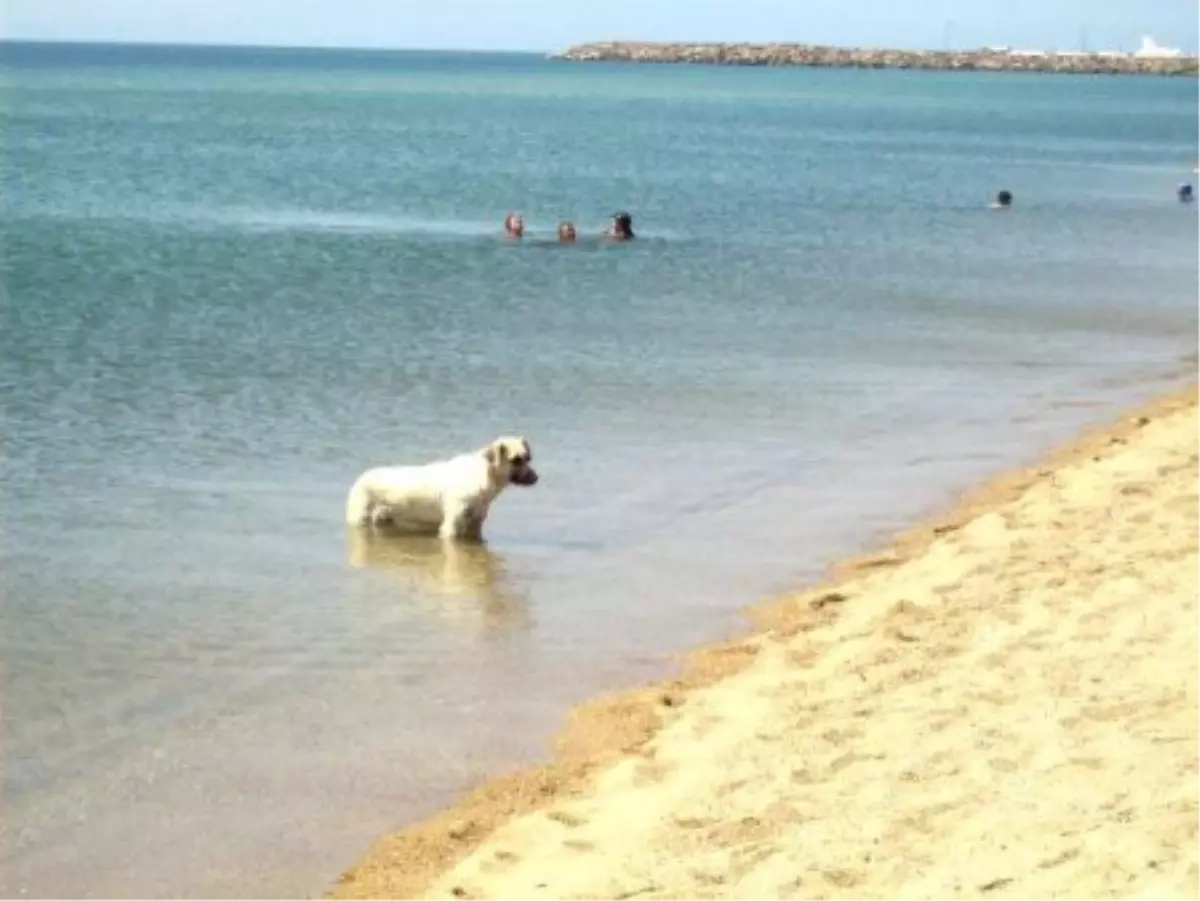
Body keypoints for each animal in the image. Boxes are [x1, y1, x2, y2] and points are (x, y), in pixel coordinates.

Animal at [345, 439, 537, 542]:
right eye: (516, 460)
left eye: (528, 458)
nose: (537, 478)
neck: (483, 475)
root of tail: (362, 476)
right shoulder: (451, 525)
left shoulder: (475, 523)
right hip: (359, 518)